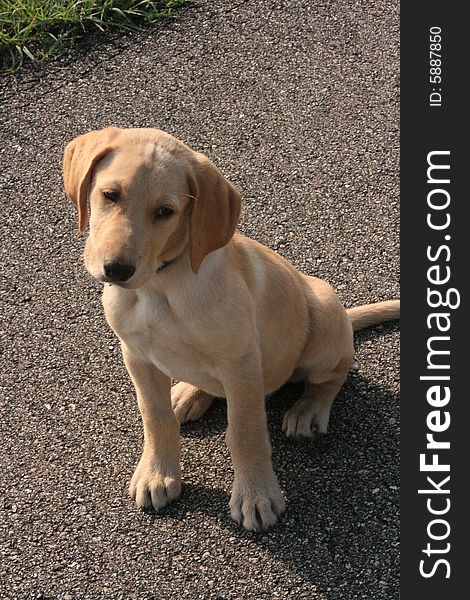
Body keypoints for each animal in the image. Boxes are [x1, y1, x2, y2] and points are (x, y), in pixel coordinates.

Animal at [63, 126, 400, 528]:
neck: (161, 284)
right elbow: (155, 417)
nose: (116, 269)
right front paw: (157, 473)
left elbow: (245, 431)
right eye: (110, 195)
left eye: (166, 212)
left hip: (324, 319)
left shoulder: (240, 364)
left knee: (335, 372)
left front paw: (256, 495)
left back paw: (309, 409)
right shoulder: (137, 356)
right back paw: (189, 394)